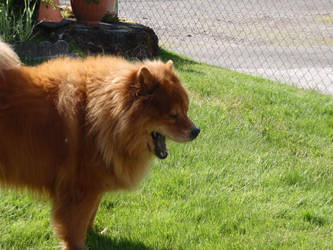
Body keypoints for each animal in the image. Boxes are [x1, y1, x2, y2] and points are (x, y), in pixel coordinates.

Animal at [0, 40, 198, 249]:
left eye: (186, 110)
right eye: (173, 115)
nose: (196, 130)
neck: (97, 116)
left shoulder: (96, 186)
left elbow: (91, 215)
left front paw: (94, 234)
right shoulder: (79, 190)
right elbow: (76, 227)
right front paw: (78, 245)